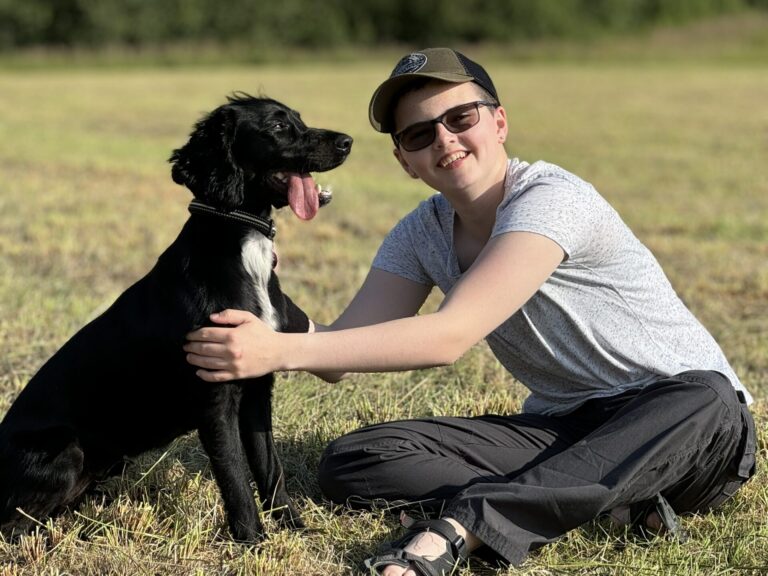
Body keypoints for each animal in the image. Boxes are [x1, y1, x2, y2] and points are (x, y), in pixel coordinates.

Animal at [0, 92, 354, 544]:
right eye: (277, 126)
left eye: (299, 119)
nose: (347, 141)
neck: (242, 249)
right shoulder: (215, 402)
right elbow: (235, 476)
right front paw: (251, 541)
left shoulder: (258, 389)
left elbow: (269, 468)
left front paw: (293, 526)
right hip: (65, 448)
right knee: (14, 525)